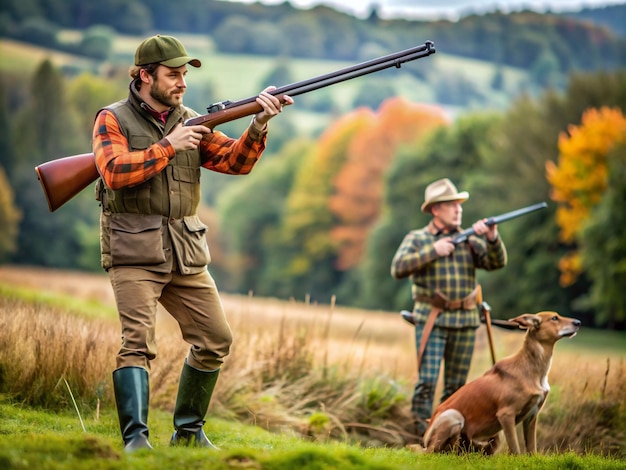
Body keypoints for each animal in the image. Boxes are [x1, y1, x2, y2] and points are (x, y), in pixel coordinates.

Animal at [422, 310, 576, 454]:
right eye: (554, 318)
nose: (578, 322)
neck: (533, 370)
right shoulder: (506, 415)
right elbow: (515, 448)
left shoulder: (532, 415)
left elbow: (532, 448)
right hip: (454, 416)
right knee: (430, 453)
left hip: (494, 435)